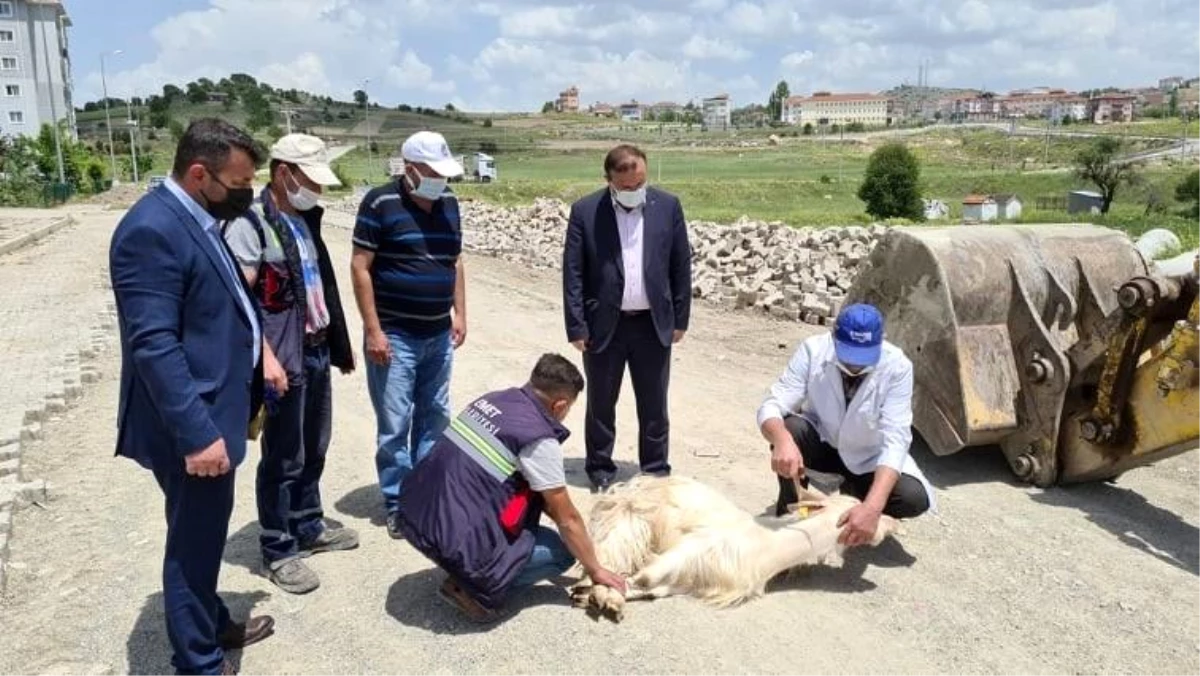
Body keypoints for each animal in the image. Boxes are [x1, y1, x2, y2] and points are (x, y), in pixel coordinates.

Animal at [571, 473, 902, 619]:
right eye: (871, 519)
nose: (894, 522)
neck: (765, 546)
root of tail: (631, 484)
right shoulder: (684, 552)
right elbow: (639, 577)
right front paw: (602, 597)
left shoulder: (685, 581)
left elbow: (646, 589)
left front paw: (601, 599)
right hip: (628, 524)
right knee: (606, 559)